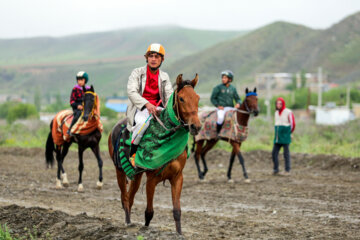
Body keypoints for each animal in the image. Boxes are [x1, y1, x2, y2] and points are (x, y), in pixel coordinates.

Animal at [108, 73, 201, 234]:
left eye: (197, 98)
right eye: (181, 98)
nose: (196, 126)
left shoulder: (177, 177)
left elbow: (177, 211)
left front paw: (179, 233)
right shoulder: (151, 179)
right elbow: (149, 212)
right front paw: (145, 229)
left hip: (136, 175)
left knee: (130, 197)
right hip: (119, 170)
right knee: (125, 197)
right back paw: (128, 222)